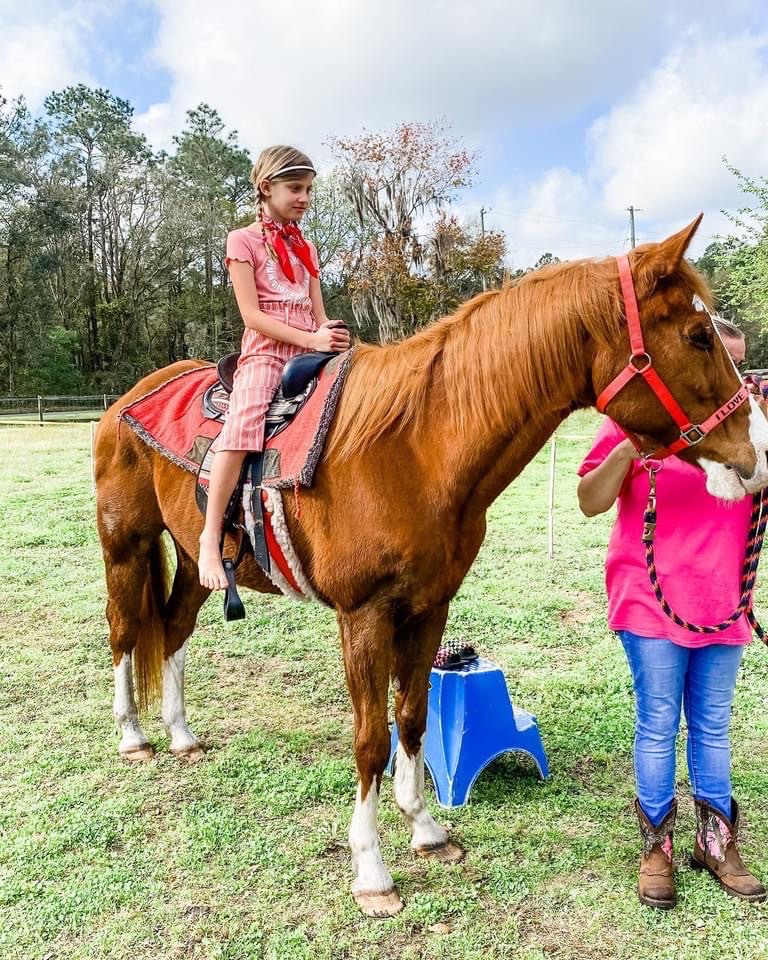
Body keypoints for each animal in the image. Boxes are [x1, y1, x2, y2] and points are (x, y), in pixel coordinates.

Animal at [94, 216, 768, 917]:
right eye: (697, 336)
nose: (757, 456)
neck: (416, 447)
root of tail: (129, 400)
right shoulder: (363, 617)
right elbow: (371, 740)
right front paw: (372, 871)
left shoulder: (429, 607)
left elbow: (412, 720)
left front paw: (425, 829)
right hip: (126, 546)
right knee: (124, 633)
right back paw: (134, 736)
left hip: (197, 562)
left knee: (172, 630)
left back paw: (179, 734)